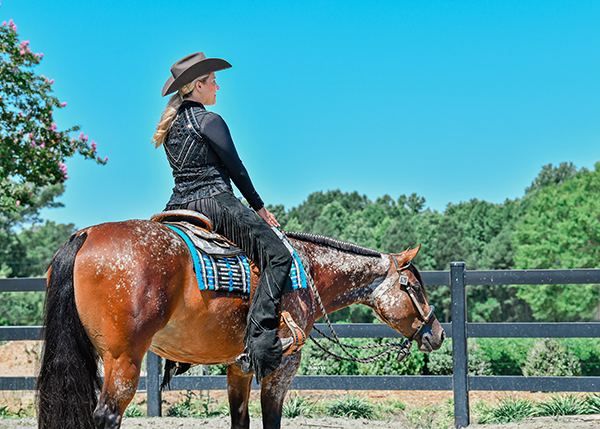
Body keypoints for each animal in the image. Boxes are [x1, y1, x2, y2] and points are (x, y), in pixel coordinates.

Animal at [35, 219, 442, 426]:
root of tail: (85, 235)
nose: (437, 333)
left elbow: (240, 420)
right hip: (123, 362)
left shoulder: (239, 368)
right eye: (414, 287)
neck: (307, 271)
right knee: (105, 417)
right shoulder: (280, 367)